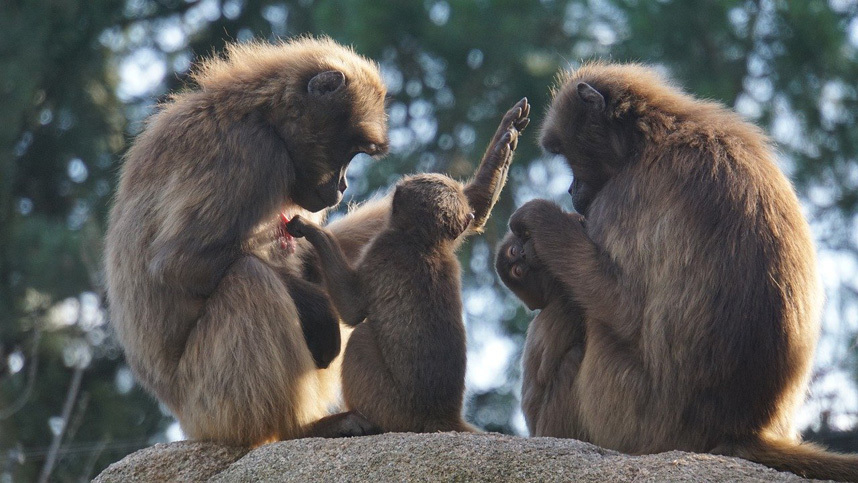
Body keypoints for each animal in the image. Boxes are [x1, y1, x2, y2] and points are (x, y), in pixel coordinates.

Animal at [286, 175, 474, 434]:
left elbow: (353, 311)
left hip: (392, 408)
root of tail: (441, 415)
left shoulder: (382, 246)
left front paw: (313, 232)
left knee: (361, 335)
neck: (425, 242)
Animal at [494, 62, 856, 482]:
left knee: (580, 322)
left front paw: (538, 218)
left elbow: (621, 306)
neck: (652, 136)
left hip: (634, 416)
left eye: (569, 155)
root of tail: (741, 429)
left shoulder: (621, 196)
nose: (570, 190)